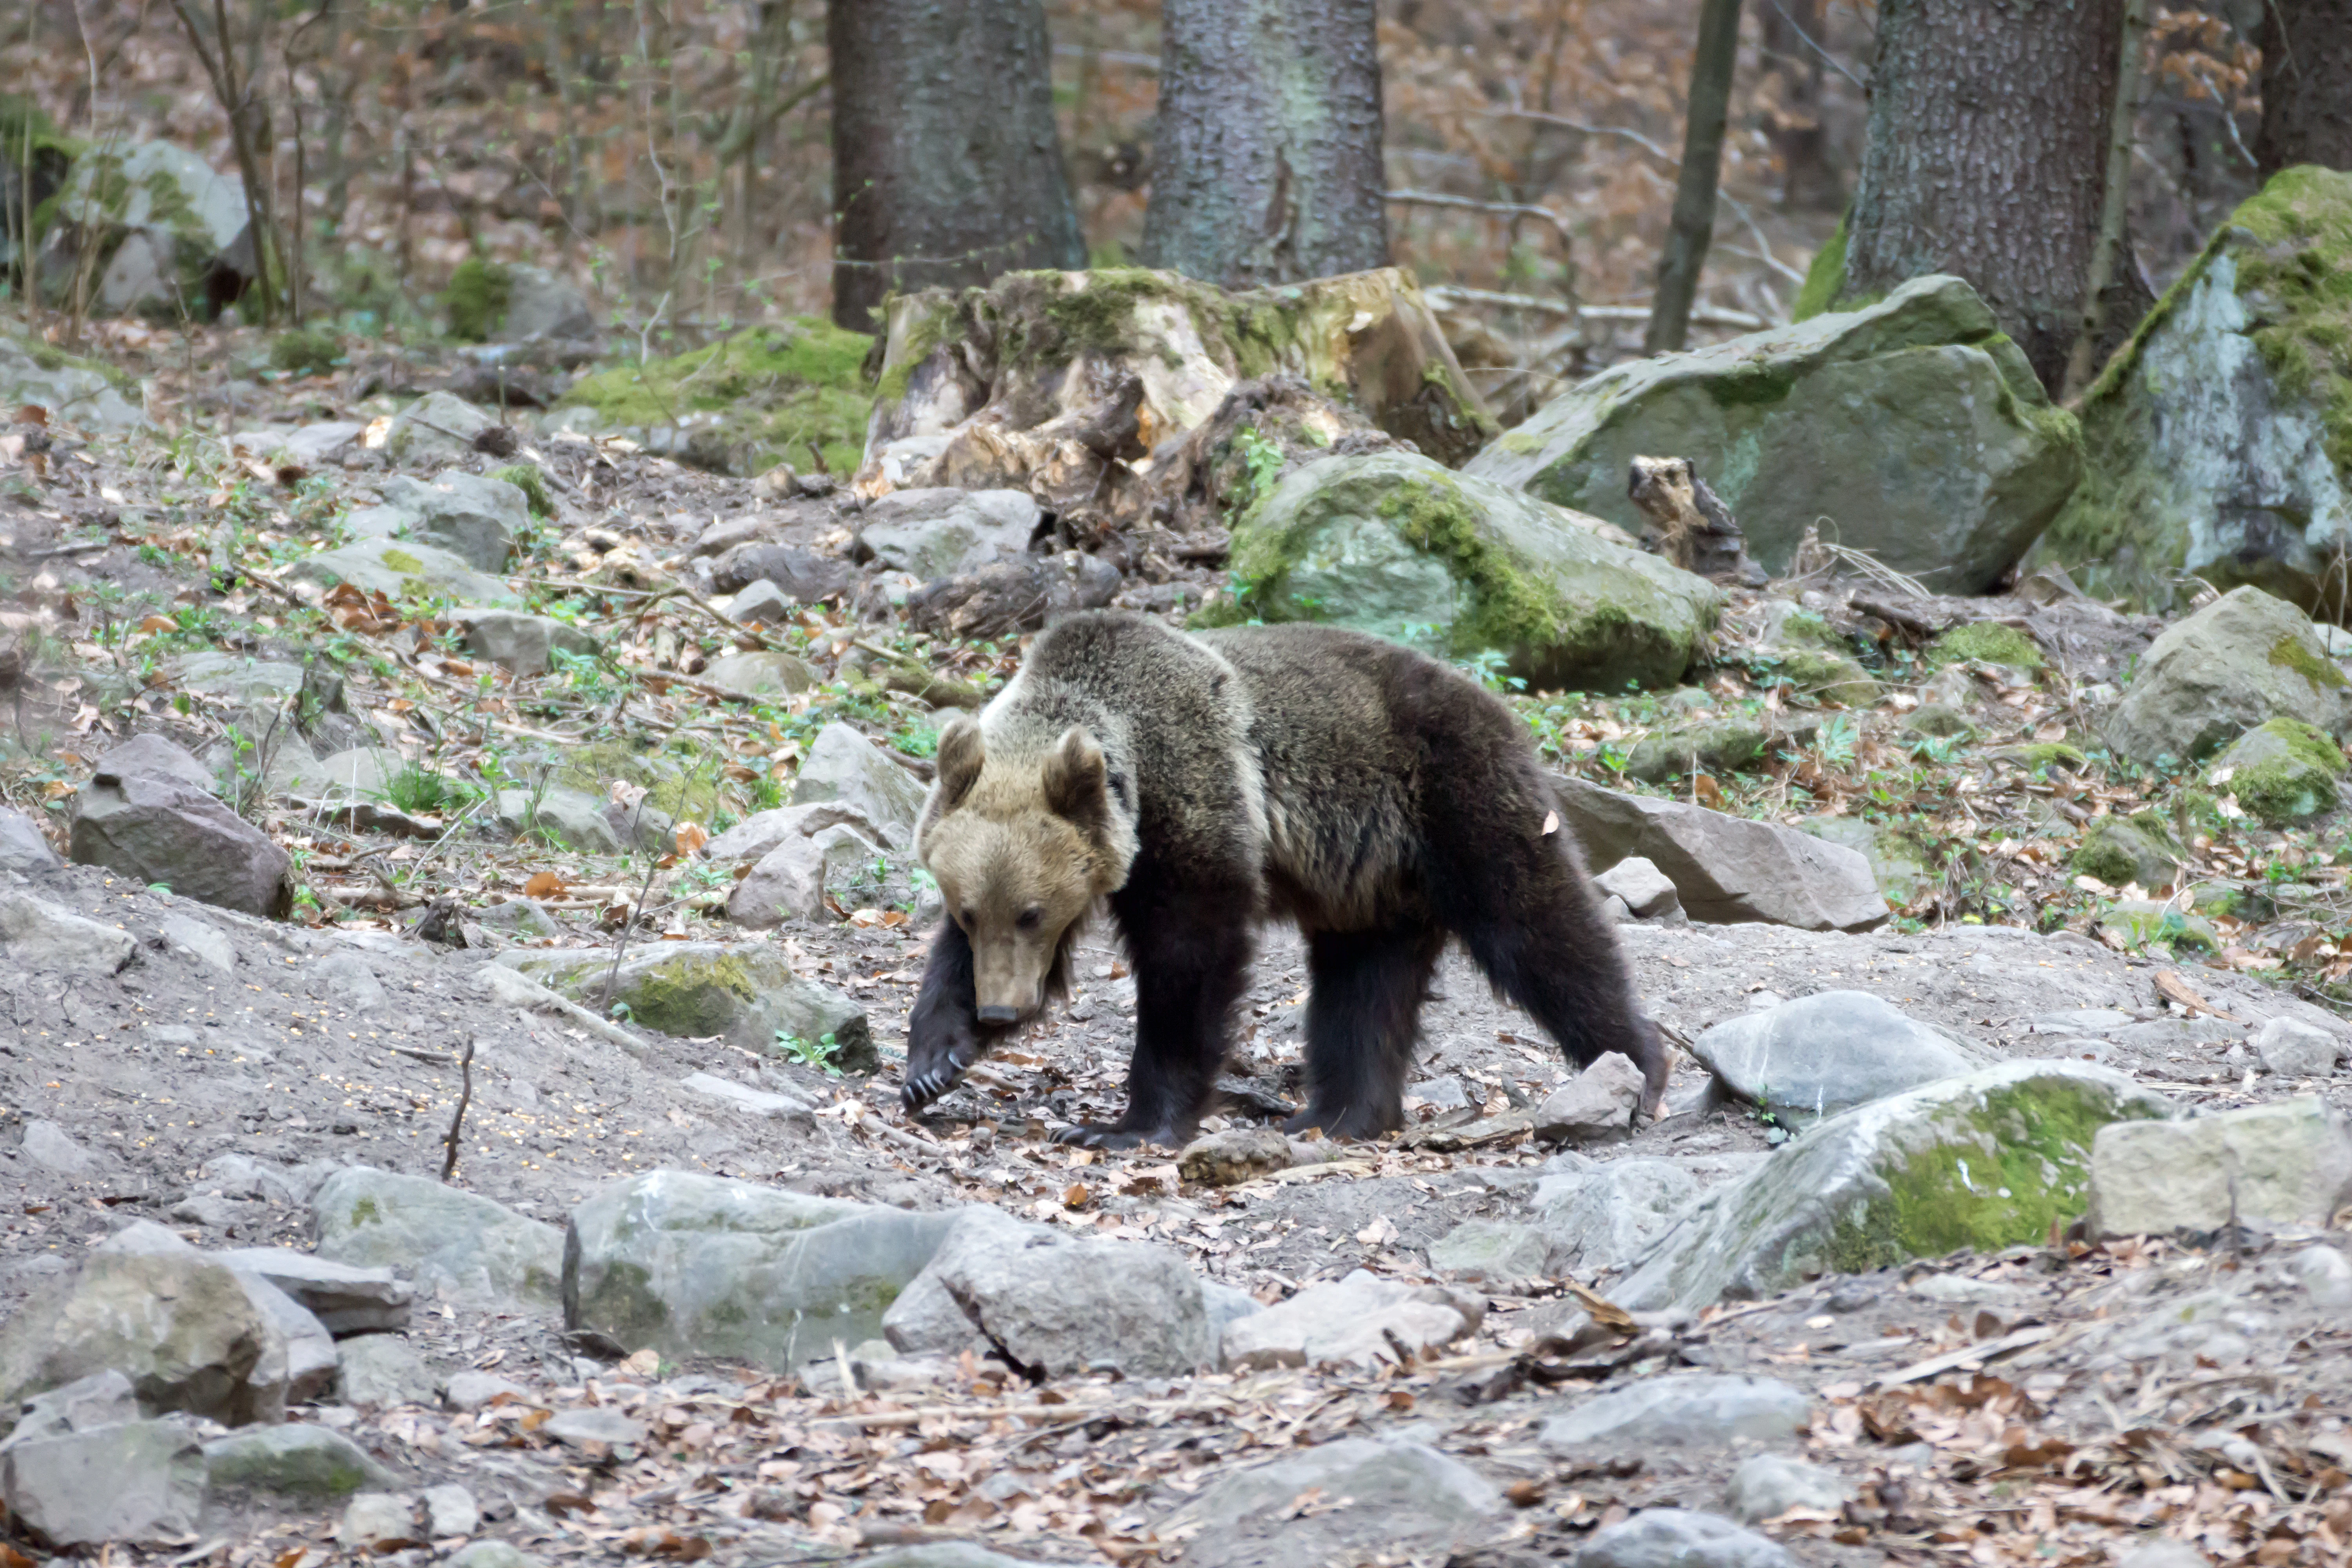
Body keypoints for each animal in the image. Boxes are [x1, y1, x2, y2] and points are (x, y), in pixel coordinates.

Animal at [900, 610, 1668, 1148]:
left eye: (1032, 911)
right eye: (970, 911)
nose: (1001, 1011)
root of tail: (1494, 699)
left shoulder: (1196, 813)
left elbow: (1190, 964)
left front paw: (1126, 1126)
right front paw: (933, 1062)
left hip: (1459, 796)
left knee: (1539, 927)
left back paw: (1636, 1068)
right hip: (1375, 884)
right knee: (1363, 991)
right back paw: (1338, 1115)